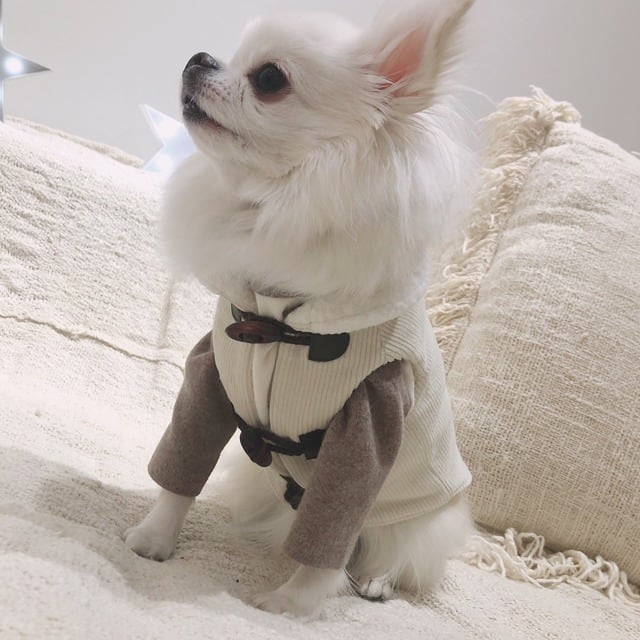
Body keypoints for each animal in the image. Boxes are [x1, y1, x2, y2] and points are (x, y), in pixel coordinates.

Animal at [124, 0, 475, 619]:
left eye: (269, 79)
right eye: (229, 53)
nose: (198, 57)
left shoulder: (369, 417)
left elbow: (329, 533)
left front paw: (294, 601)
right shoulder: (210, 375)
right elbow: (181, 470)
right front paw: (155, 538)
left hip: (422, 518)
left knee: (391, 551)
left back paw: (376, 580)